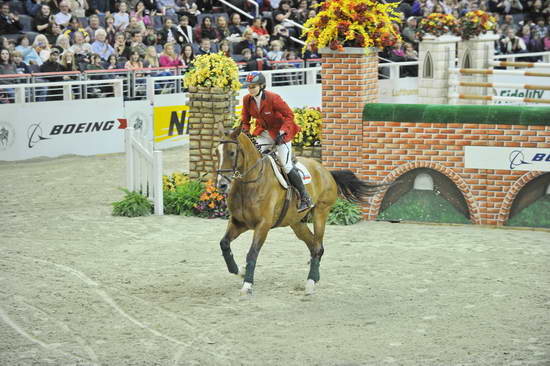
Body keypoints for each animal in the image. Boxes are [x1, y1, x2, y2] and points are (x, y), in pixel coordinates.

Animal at [217, 127, 384, 296]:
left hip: (320, 212)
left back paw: (310, 282)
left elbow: (252, 253)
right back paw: (315, 277)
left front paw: (247, 284)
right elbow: (224, 243)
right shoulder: (239, 222)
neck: (250, 184)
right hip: (297, 223)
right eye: (217, 152)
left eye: (232, 153)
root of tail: (326, 171)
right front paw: (238, 270)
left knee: (317, 246)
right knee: (313, 245)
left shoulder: (263, 225)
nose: (221, 185)